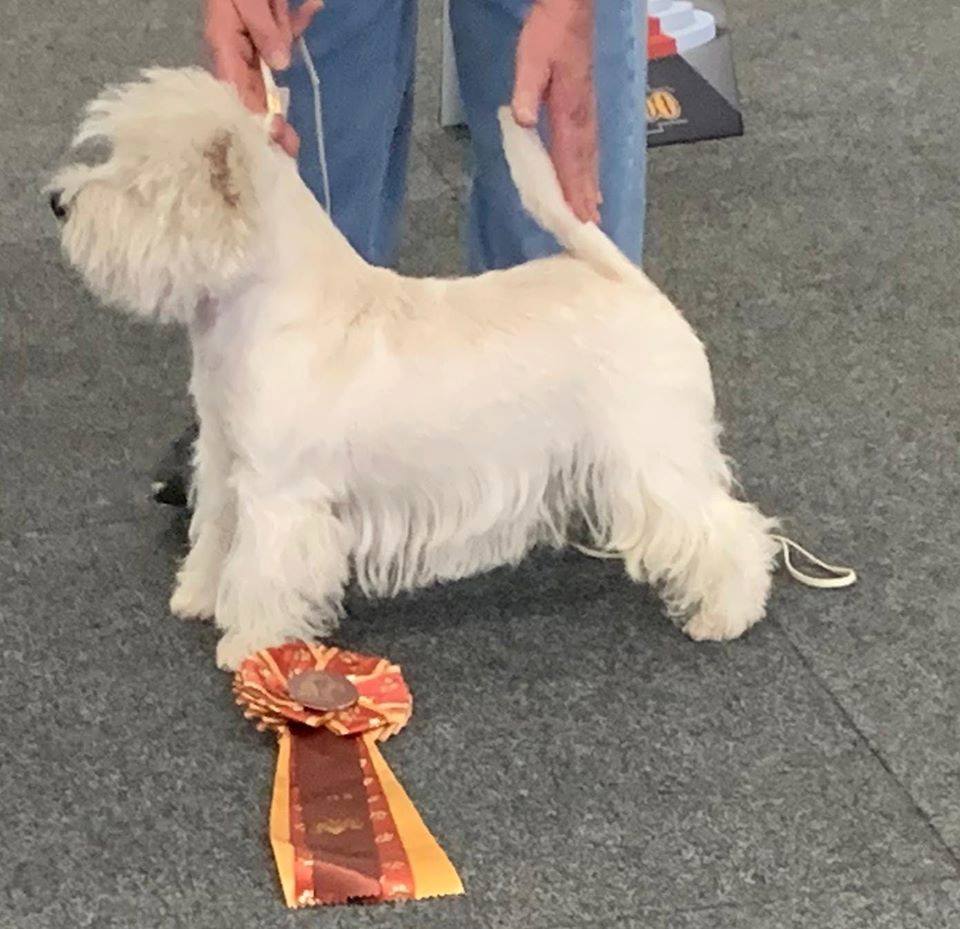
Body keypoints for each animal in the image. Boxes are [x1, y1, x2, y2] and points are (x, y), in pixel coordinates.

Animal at [52, 70, 780, 668]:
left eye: (138, 185)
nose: (58, 202)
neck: (254, 308)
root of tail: (623, 277)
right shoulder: (227, 458)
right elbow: (216, 533)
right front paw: (199, 595)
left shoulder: (280, 493)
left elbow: (264, 568)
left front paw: (251, 647)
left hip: (650, 454)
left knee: (725, 526)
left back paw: (726, 613)